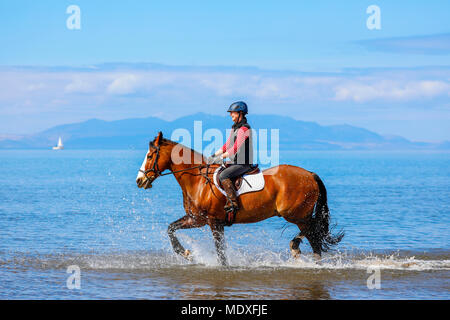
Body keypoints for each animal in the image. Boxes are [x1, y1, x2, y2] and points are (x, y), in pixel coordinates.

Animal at [135, 131, 342, 266]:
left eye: (150, 155)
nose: (140, 180)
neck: (198, 180)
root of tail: (310, 174)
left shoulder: (213, 222)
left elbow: (221, 253)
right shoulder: (197, 219)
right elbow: (170, 229)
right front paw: (186, 254)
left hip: (295, 214)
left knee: (314, 235)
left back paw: (306, 256)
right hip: (298, 215)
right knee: (313, 232)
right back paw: (300, 251)